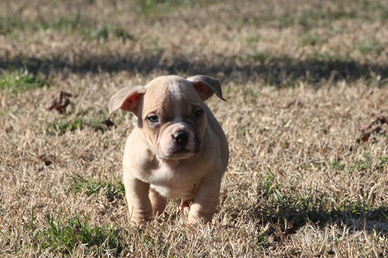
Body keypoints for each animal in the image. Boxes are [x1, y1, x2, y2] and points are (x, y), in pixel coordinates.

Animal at [107, 75, 229, 226]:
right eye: (153, 118)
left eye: (197, 113)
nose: (181, 135)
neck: (170, 161)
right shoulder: (134, 178)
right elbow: (140, 202)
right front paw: (140, 224)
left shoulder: (209, 180)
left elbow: (201, 207)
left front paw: (195, 227)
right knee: (156, 199)